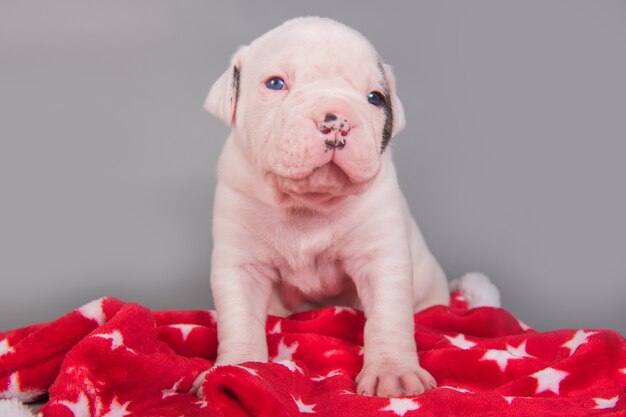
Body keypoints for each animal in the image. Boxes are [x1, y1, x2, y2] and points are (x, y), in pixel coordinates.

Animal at [202, 17, 446, 396]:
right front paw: (237, 368)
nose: (338, 121)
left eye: (375, 98)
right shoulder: (240, 262)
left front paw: (393, 373)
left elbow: (388, 317)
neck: (308, 204)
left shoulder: (381, 255)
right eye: (276, 83)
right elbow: (240, 318)